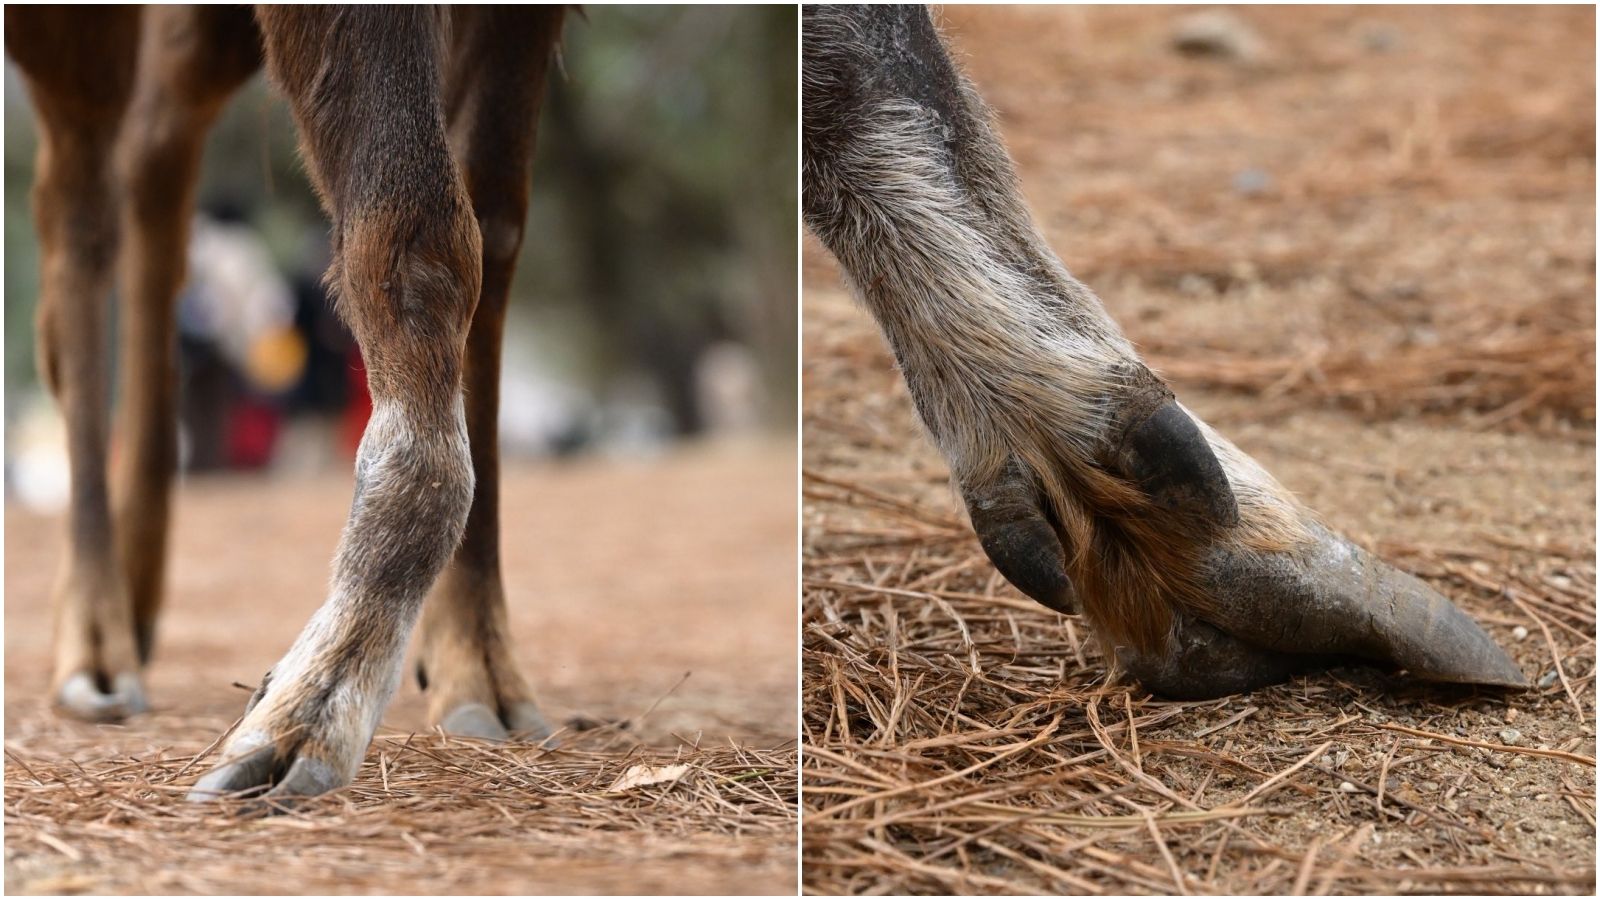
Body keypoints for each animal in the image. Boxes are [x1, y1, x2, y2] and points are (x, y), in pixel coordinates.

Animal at [8, 6, 569, 802]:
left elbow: (494, 225)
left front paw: (476, 665)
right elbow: (421, 234)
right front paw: (318, 699)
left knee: (155, 137)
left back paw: (137, 587)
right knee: (77, 197)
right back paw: (95, 641)